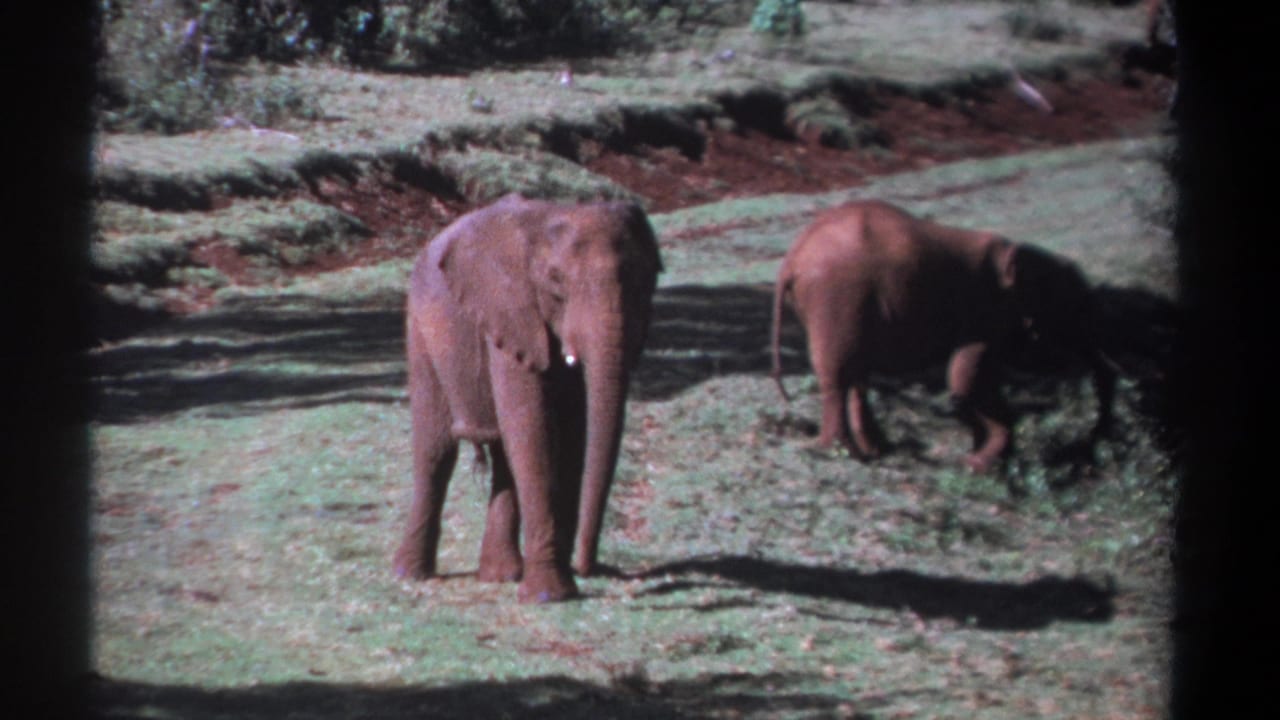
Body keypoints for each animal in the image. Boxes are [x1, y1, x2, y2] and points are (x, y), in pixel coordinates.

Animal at [393, 193, 663, 603]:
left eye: (644, 281)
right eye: (555, 281)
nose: (589, 567)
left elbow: (572, 431)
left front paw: (556, 581)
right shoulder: (511, 310)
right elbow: (534, 428)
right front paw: (550, 595)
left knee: (504, 454)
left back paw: (499, 575)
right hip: (420, 329)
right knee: (436, 451)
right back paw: (410, 575)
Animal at [769, 200, 1114, 473]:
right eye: (1074, 311)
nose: (1092, 451)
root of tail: (792, 260)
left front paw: (979, 459)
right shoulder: (984, 314)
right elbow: (964, 379)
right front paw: (976, 466)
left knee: (854, 374)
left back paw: (876, 451)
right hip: (838, 297)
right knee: (839, 374)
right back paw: (843, 453)